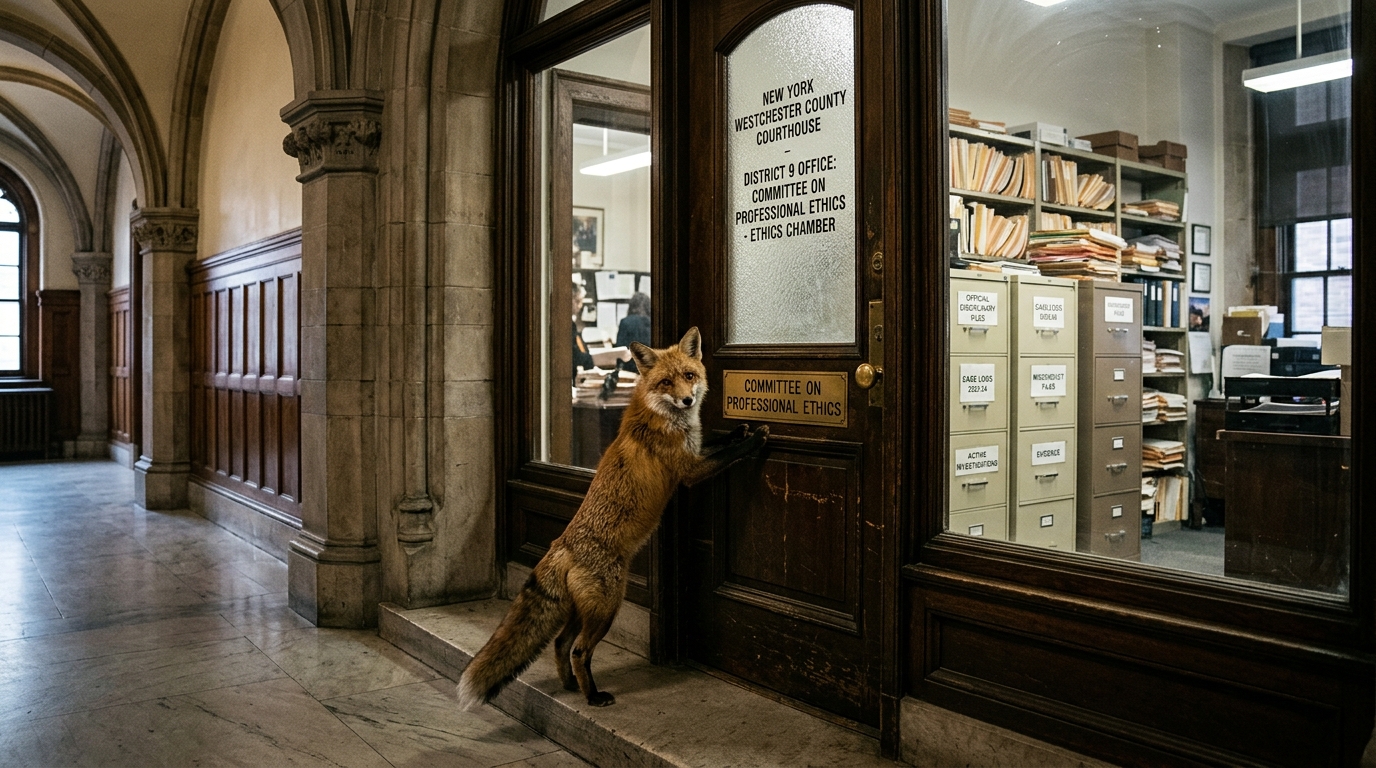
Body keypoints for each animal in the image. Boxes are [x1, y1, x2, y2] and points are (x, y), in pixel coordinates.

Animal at [458, 326, 768, 709]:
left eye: (689, 376)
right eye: (666, 382)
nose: (687, 401)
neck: (664, 415)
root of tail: (561, 545)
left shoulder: (695, 451)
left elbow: (718, 441)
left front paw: (739, 431)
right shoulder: (690, 470)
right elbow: (728, 455)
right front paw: (754, 440)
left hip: (584, 611)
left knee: (560, 643)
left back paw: (571, 686)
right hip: (608, 607)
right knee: (578, 650)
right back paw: (593, 696)